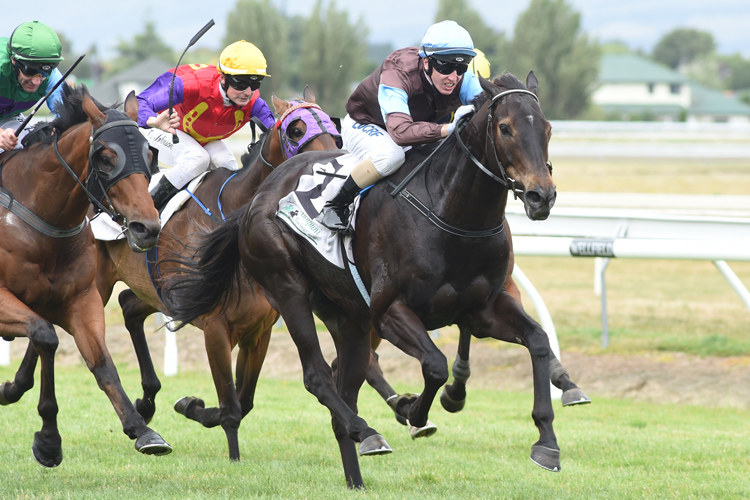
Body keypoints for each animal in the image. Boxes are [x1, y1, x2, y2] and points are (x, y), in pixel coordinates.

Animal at [0, 84, 170, 466]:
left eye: (149, 153)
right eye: (106, 157)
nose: (147, 228)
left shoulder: (81, 299)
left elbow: (103, 363)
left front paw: (142, 429)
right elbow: (45, 336)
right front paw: (49, 440)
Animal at [94, 87, 344, 460]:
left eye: (332, 124)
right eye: (296, 130)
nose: (332, 165)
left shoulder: (258, 330)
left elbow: (246, 399)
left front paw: (190, 406)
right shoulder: (215, 328)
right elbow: (231, 407)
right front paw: (233, 456)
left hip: (156, 291)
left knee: (128, 307)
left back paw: (146, 402)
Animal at [163, 71, 564, 488]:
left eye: (548, 128)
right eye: (505, 128)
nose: (541, 196)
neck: (451, 213)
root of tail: (258, 196)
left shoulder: (482, 309)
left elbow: (538, 341)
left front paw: (547, 442)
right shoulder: (389, 311)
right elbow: (435, 364)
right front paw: (412, 409)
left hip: (348, 317)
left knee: (346, 380)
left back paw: (356, 472)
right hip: (287, 287)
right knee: (318, 376)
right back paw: (364, 428)